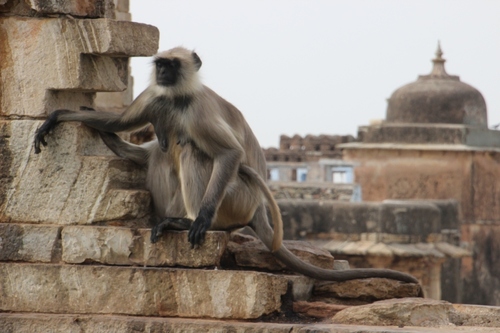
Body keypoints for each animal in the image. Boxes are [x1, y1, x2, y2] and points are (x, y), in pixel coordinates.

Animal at [33, 45, 422, 286]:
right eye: (160, 64)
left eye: (172, 64)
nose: (163, 72)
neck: (178, 99)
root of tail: (257, 211)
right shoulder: (155, 96)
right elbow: (120, 121)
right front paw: (60, 116)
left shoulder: (198, 111)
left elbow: (230, 155)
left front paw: (201, 219)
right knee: (162, 152)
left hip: (237, 196)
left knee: (193, 151)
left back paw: (187, 220)